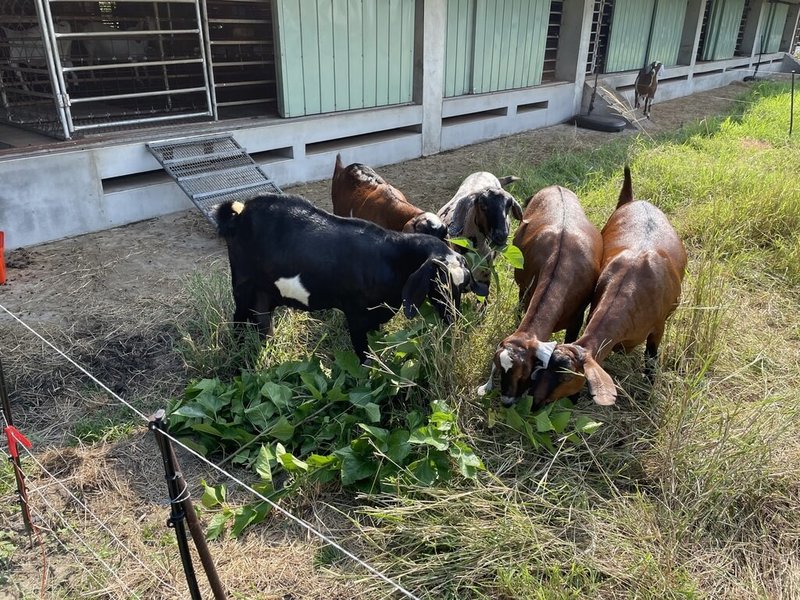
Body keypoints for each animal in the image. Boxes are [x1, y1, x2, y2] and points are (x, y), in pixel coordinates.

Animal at [216, 195, 488, 358]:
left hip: (266, 292)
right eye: (439, 284)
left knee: (263, 319)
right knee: (239, 317)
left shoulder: (378, 313)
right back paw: (238, 349)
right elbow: (363, 352)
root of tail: (241, 211)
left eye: (462, 287)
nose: (453, 319)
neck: (390, 261)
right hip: (243, 283)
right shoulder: (355, 313)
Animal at [476, 185, 600, 406]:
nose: (506, 401)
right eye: (499, 369)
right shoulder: (526, 294)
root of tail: (556, 186)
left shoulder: (577, 319)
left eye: (524, 373)